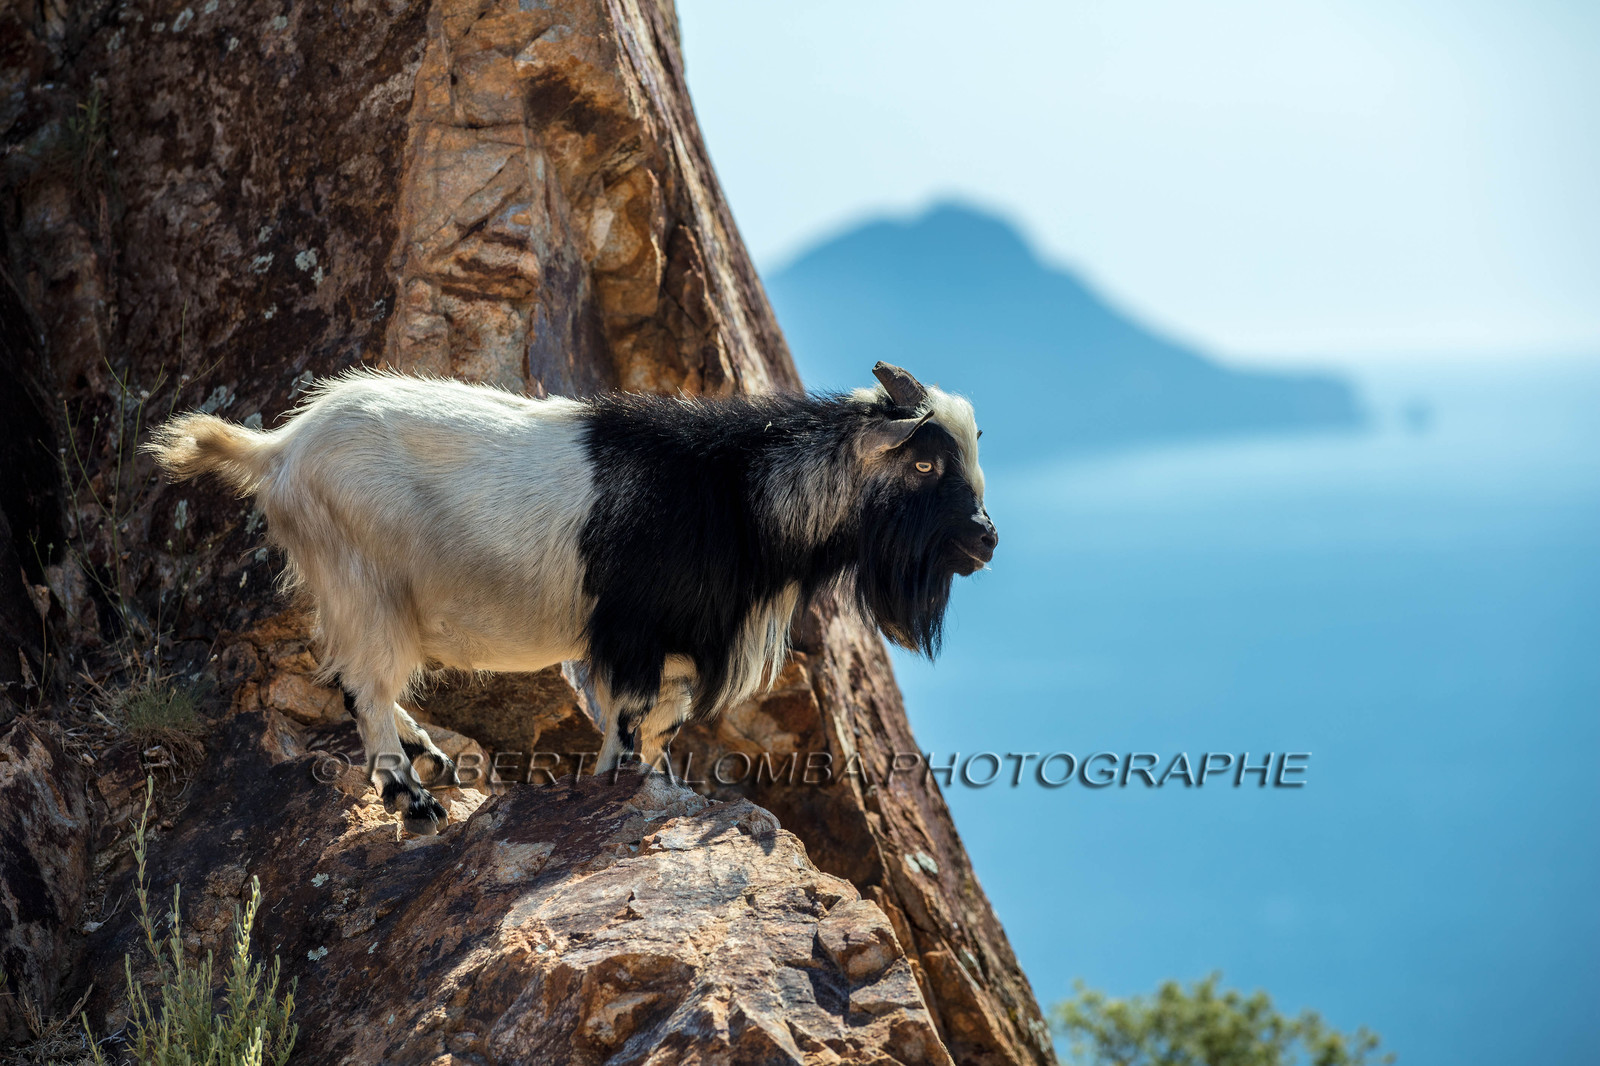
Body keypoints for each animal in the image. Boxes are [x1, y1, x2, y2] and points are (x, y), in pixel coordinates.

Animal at [145, 362, 997, 835]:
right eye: (925, 464)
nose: (984, 540)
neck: (733, 490)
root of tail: (280, 449)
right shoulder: (634, 635)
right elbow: (627, 719)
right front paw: (614, 788)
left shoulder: (666, 646)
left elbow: (660, 725)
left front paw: (655, 785)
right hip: (367, 586)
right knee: (364, 687)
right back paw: (410, 799)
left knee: (355, 682)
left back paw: (429, 756)